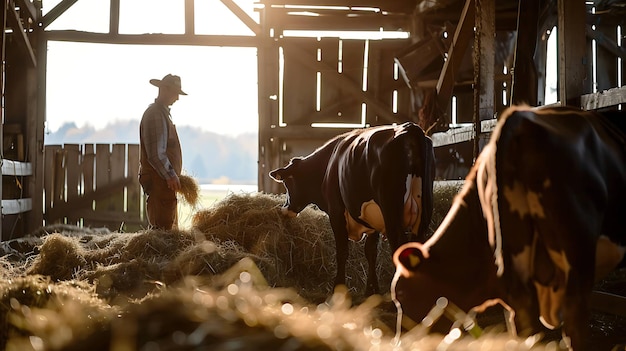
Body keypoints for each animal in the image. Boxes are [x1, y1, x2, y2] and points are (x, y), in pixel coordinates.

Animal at [268, 122, 434, 296]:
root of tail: (409, 128)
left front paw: (338, 288)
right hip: (423, 216)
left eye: (287, 183)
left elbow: (342, 251)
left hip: (391, 213)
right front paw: (372, 290)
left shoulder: (336, 212)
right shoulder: (372, 219)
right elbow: (371, 252)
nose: (284, 209)